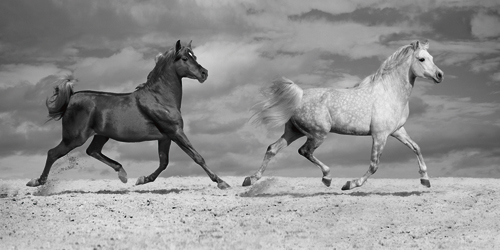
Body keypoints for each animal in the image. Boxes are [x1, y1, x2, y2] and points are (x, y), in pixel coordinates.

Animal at [26, 40, 230, 188]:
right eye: (184, 59)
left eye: (194, 56)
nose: (204, 73)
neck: (160, 98)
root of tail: (72, 98)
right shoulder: (175, 132)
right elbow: (197, 157)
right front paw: (221, 182)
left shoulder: (165, 137)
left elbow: (164, 162)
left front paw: (142, 179)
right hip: (74, 138)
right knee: (53, 153)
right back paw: (37, 182)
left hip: (101, 135)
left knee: (92, 151)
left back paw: (122, 174)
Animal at [244, 40, 444, 190]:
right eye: (422, 59)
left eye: (432, 57)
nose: (440, 75)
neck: (389, 93)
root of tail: (299, 96)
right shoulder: (380, 135)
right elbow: (374, 164)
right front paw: (351, 184)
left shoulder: (397, 131)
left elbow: (416, 147)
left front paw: (425, 179)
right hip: (318, 134)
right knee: (304, 151)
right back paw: (327, 177)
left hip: (294, 131)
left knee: (272, 148)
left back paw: (251, 179)